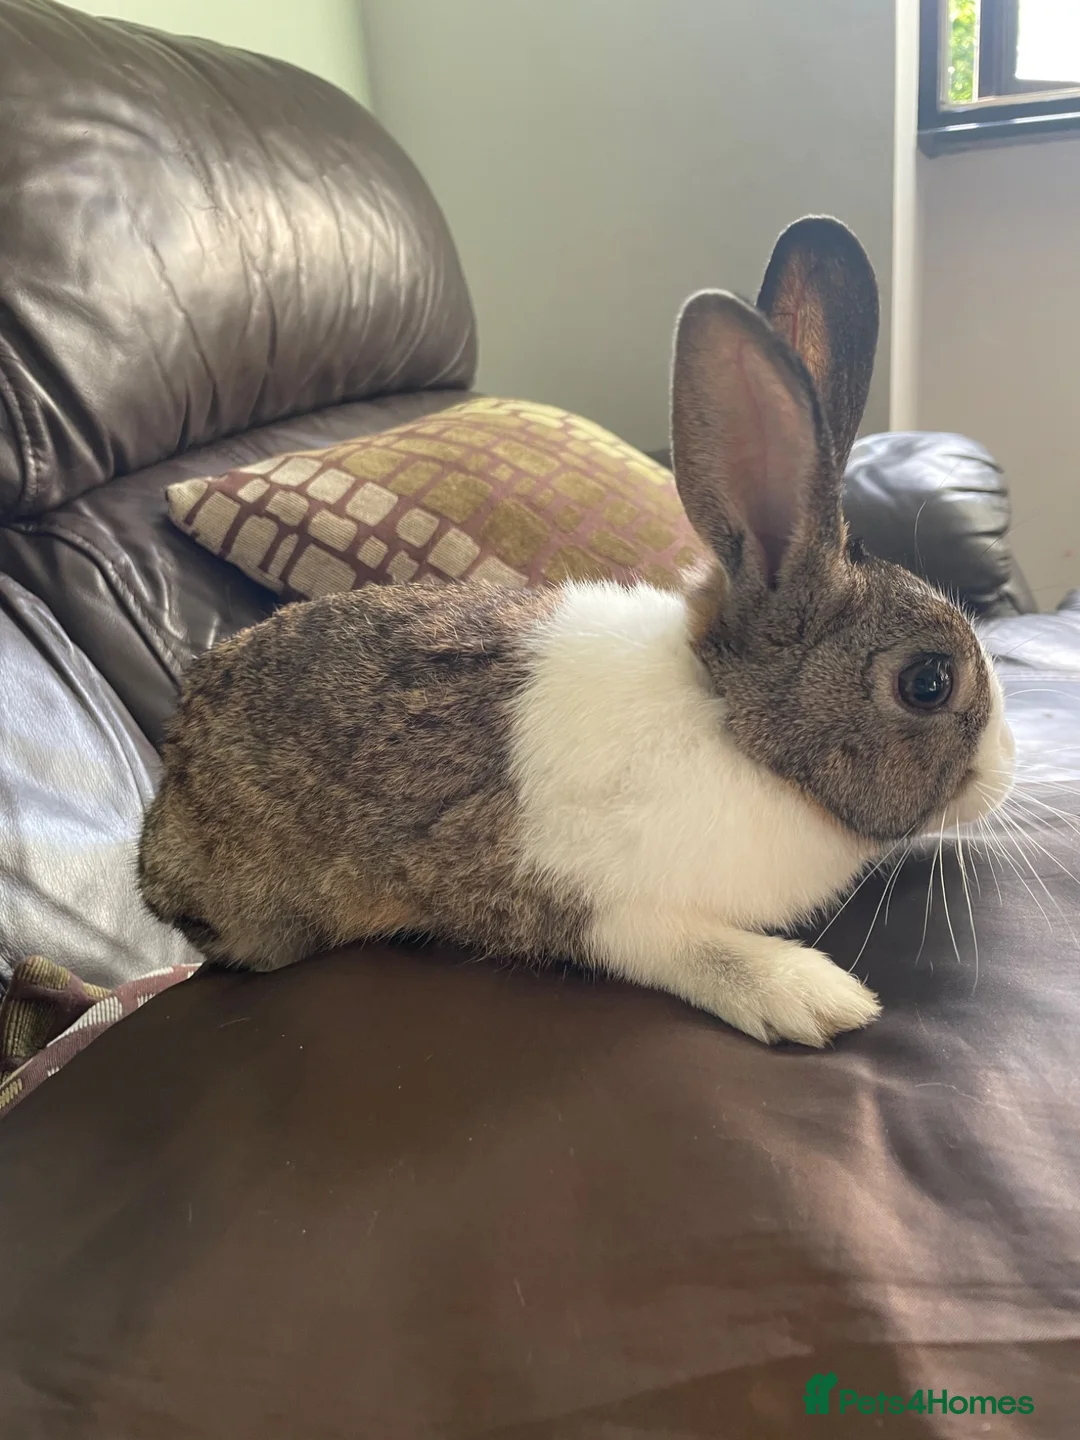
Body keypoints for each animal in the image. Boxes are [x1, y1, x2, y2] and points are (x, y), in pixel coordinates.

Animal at [138, 216, 1015, 1047]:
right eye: (928, 683)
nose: (1009, 769)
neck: (737, 729)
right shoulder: (589, 903)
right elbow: (686, 947)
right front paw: (811, 997)